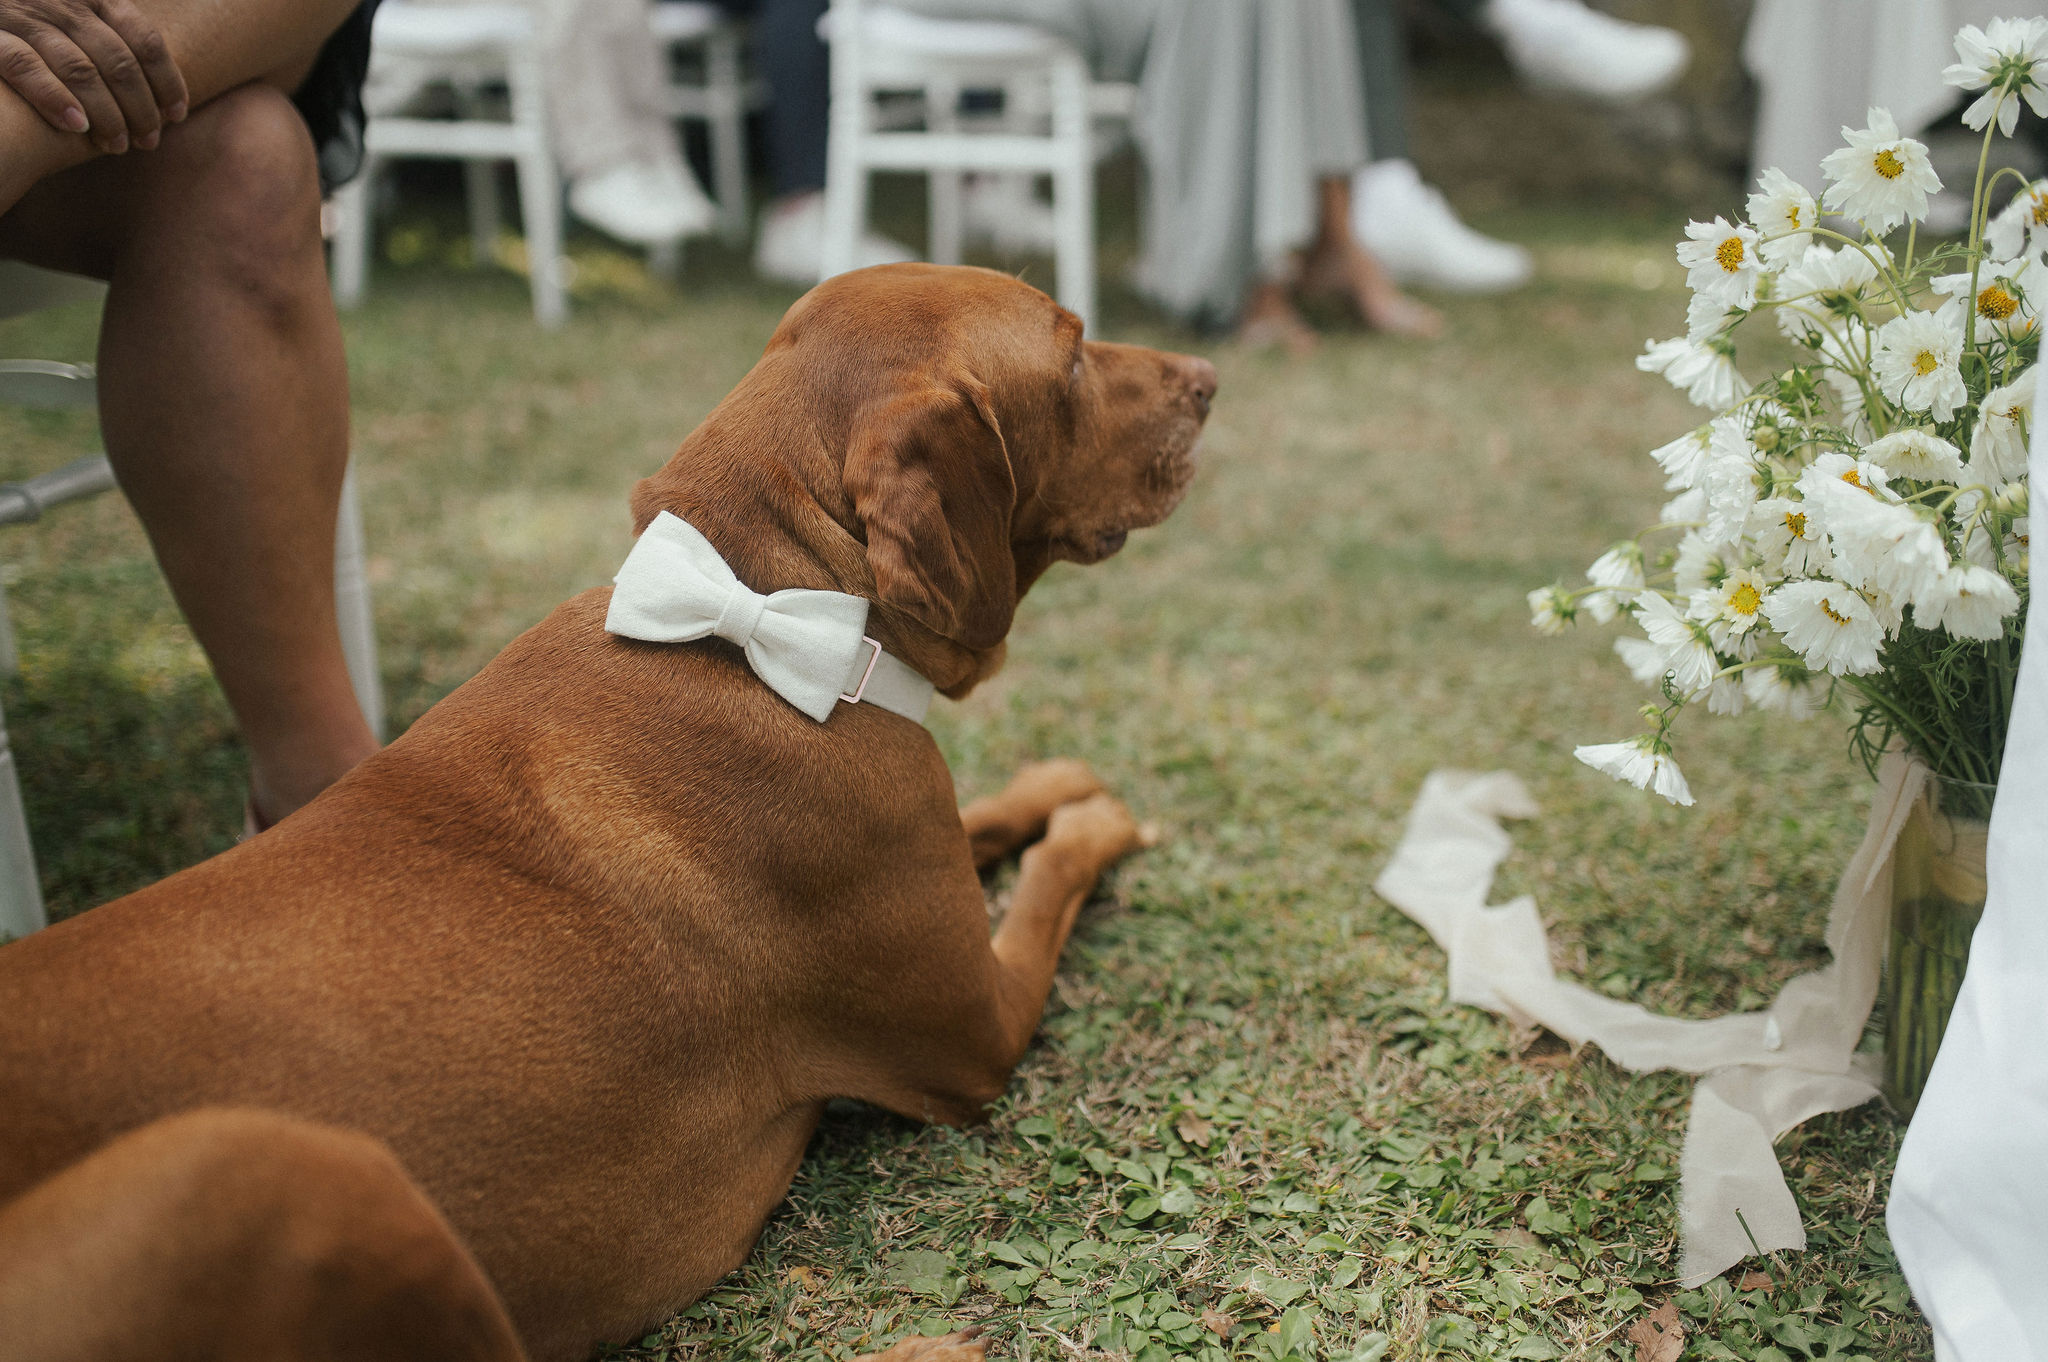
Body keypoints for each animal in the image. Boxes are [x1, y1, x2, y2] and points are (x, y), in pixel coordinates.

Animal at [0, 266, 1212, 1359]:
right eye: (1071, 351)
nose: (1206, 378)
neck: (761, 615)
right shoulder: (979, 1034)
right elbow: (1050, 881)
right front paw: (1091, 822)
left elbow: (997, 817)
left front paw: (1050, 786)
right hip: (294, 1167)